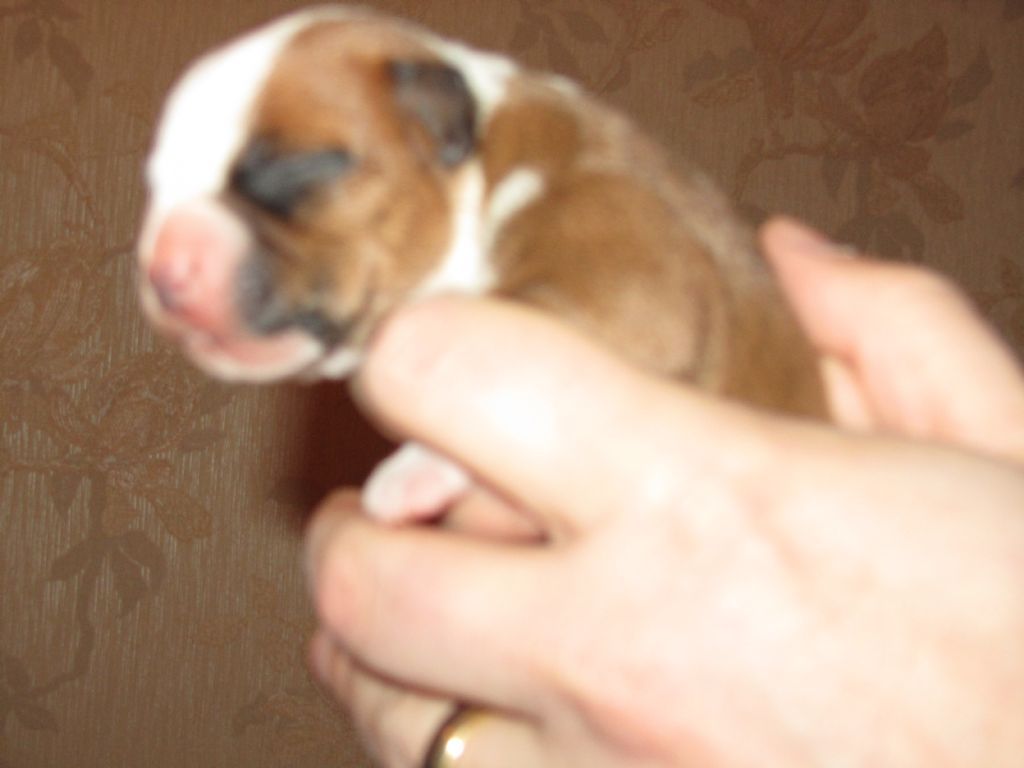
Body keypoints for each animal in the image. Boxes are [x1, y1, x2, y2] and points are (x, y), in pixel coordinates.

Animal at [137, 6, 825, 522]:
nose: (163, 269)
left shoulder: (632, 288)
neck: (485, 163)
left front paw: (411, 471)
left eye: (298, 167)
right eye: (155, 185)